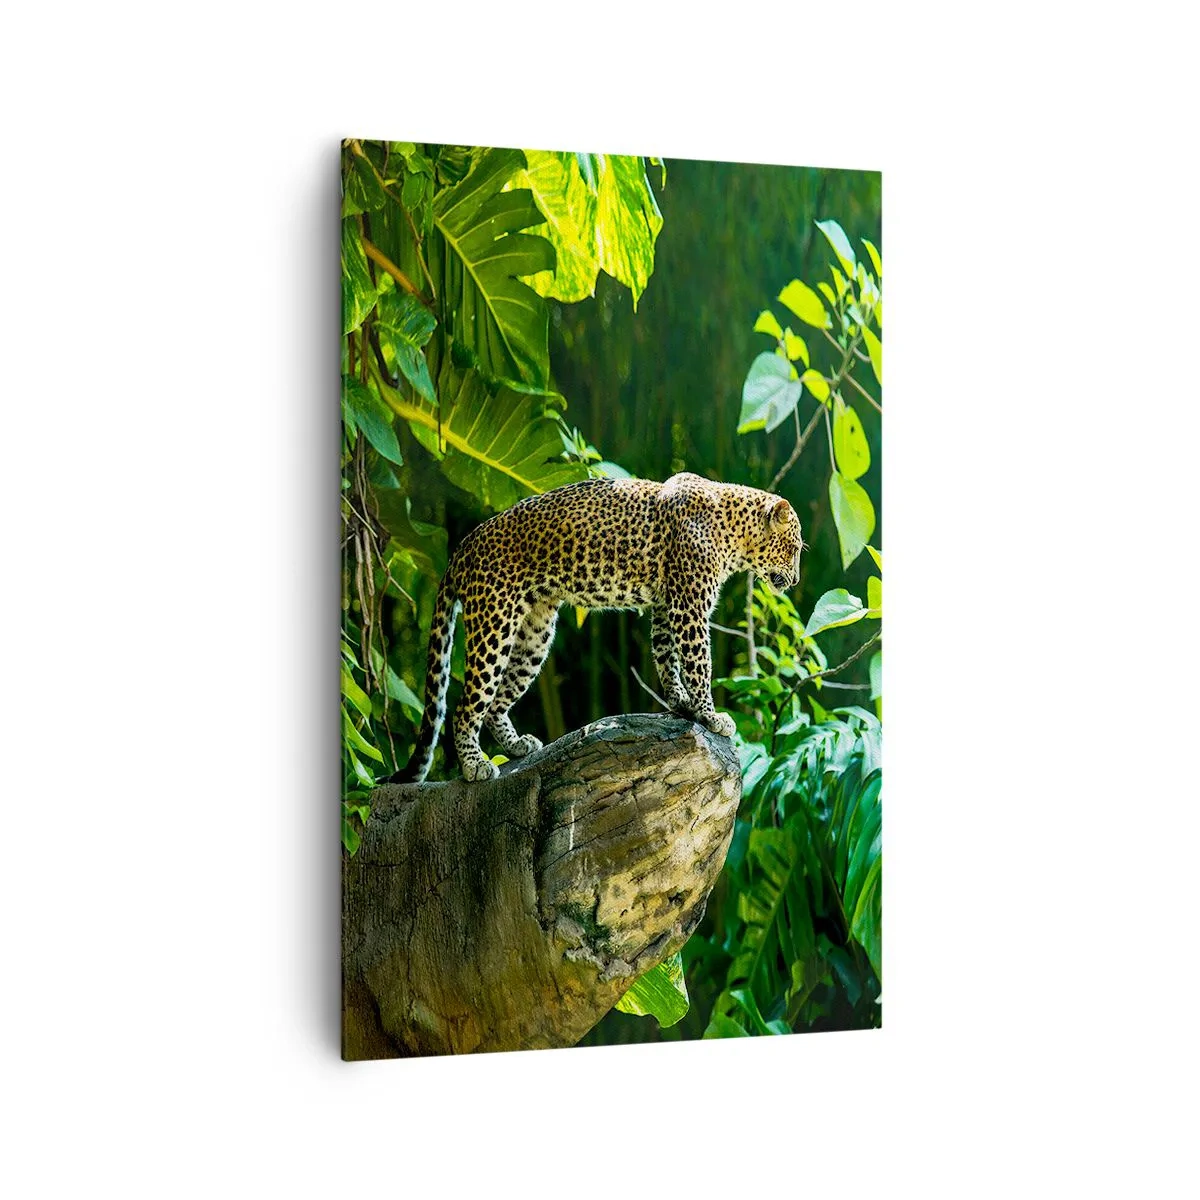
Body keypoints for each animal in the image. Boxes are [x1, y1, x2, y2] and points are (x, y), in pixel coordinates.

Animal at [394, 471, 803, 783]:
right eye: (795, 548)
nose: (797, 580)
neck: (734, 531)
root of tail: (463, 546)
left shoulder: (665, 605)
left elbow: (666, 656)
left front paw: (680, 703)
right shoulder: (690, 608)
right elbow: (698, 662)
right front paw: (711, 715)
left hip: (535, 633)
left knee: (496, 701)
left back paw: (517, 746)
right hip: (494, 622)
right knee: (466, 705)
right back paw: (474, 766)